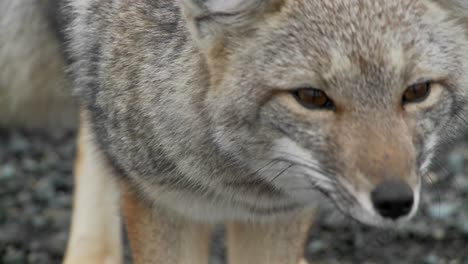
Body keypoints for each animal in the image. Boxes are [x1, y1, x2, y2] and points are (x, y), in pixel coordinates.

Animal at [2, 0, 468, 264]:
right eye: (311, 97)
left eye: (417, 91)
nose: (395, 201)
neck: (235, 184)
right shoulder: (162, 204)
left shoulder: (280, 214)